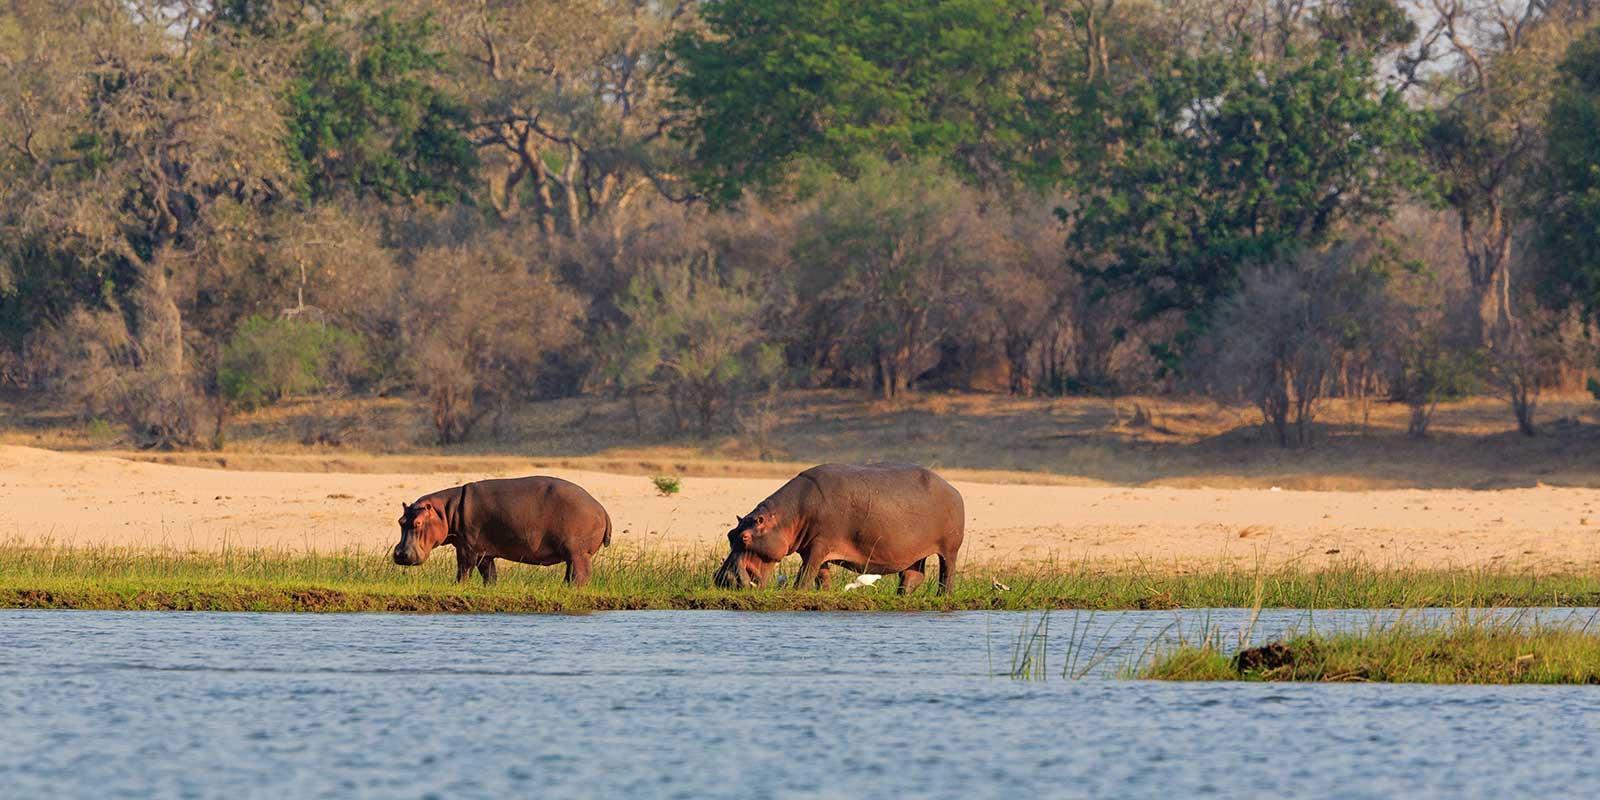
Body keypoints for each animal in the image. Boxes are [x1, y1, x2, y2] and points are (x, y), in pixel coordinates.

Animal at [393, 476, 612, 586]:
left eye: (418, 523)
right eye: (400, 521)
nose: (401, 554)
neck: (445, 511)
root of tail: (602, 508)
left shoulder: (467, 547)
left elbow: (463, 569)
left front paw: (457, 586)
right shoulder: (484, 552)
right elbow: (489, 574)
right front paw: (488, 589)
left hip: (578, 552)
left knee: (581, 574)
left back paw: (571, 589)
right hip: (573, 554)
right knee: (571, 573)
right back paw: (563, 587)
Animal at [714, 463, 965, 594]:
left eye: (745, 537)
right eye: (730, 534)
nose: (721, 579)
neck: (786, 517)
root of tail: (953, 488)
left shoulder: (820, 543)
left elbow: (806, 573)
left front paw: (797, 592)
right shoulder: (810, 547)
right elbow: (820, 574)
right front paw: (823, 593)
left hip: (950, 549)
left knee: (947, 572)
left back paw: (944, 596)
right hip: (913, 552)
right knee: (913, 576)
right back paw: (902, 596)